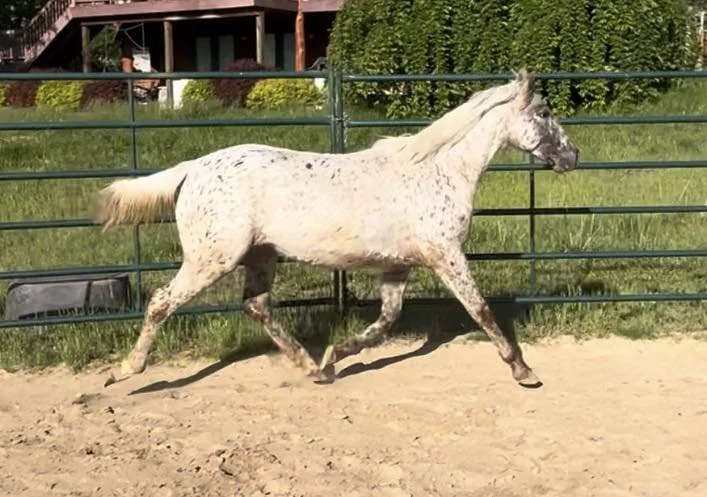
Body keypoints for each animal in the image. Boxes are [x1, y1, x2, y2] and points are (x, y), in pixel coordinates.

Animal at [96, 69, 579, 389]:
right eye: (544, 111)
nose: (572, 157)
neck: (439, 171)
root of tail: (193, 168)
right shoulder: (446, 255)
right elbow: (480, 310)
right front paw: (523, 370)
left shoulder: (398, 266)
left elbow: (386, 322)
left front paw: (334, 358)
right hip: (211, 259)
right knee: (161, 302)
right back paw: (125, 371)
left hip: (260, 256)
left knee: (256, 306)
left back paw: (312, 369)